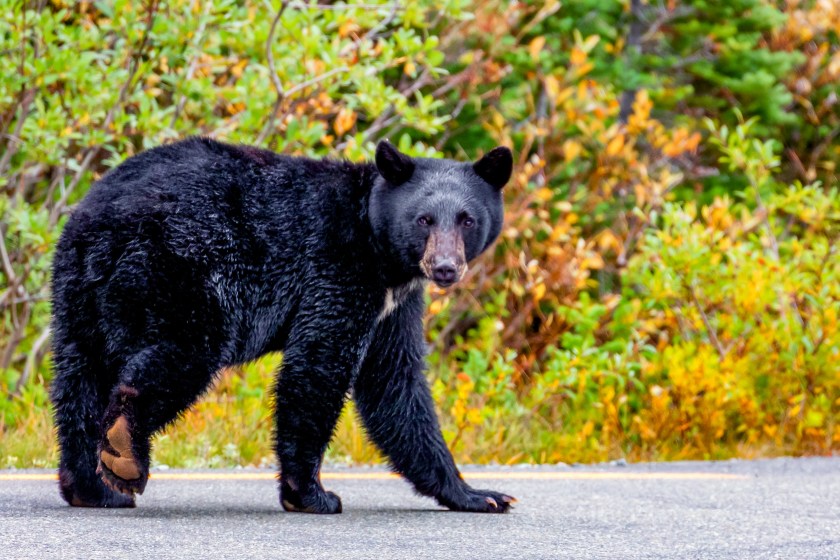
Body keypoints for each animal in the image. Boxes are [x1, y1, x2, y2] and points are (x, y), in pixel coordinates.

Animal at [50, 137, 515, 513]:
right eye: (424, 219)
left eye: (467, 219)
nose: (445, 267)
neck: (377, 245)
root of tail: (102, 220)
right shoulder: (338, 271)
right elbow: (318, 366)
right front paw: (310, 494)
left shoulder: (393, 306)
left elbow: (394, 384)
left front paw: (476, 494)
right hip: (181, 270)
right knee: (183, 354)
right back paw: (125, 451)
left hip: (77, 293)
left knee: (79, 382)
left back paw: (93, 488)